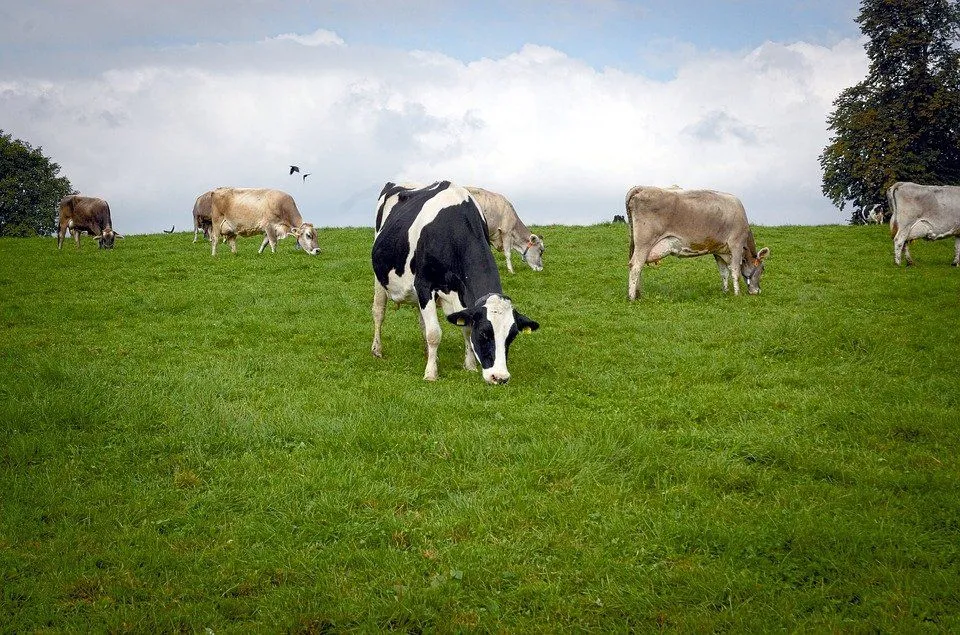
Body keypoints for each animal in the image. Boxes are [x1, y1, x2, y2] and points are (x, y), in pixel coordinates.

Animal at [371, 181, 539, 384]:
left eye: (512, 336)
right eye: (484, 332)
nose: (499, 377)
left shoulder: (462, 294)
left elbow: (464, 327)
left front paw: (469, 365)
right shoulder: (424, 285)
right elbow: (434, 333)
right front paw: (431, 374)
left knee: (422, 321)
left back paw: (429, 354)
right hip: (380, 279)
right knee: (379, 312)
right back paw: (377, 350)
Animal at [626, 185, 769, 299]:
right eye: (763, 269)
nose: (757, 291)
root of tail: (642, 187)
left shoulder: (719, 251)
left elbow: (724, 272)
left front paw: (725, 291)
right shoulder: (736, 245)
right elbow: (735, 271)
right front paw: (737, 294)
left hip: (636, 243)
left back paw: (638, 294)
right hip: (644, 242)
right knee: (636, 265)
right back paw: (632, 297)